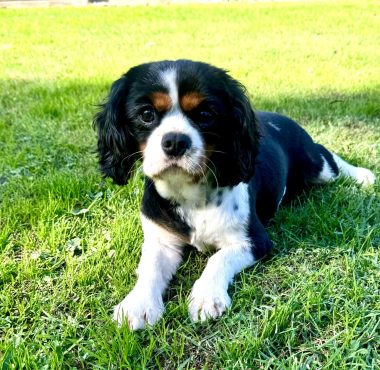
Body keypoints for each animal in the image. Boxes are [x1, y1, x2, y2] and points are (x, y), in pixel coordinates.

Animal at [94, 59, 374, 330]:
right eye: (146, 114)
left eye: (205, 114)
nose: (175, 141)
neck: (191, 194)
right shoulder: (161, 240)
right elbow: (150, 267)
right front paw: (137, 304)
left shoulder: (254, 241)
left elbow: (218, 259)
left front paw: (207, 296)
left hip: (315, 165)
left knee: (329, 157)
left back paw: (362, 175)